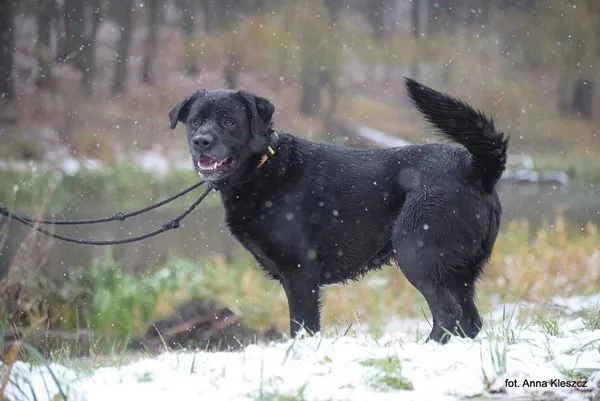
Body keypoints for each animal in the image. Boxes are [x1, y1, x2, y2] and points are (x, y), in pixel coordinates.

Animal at [169, 79, 510, 344]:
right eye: (196, 121)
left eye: (229, 121)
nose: (201, 141)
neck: (266, 167)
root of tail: (474, 168)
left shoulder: (300, 271)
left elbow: (302, 327)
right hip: (460, 272)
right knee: (470, 321)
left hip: (418, 253)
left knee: (449, 316)